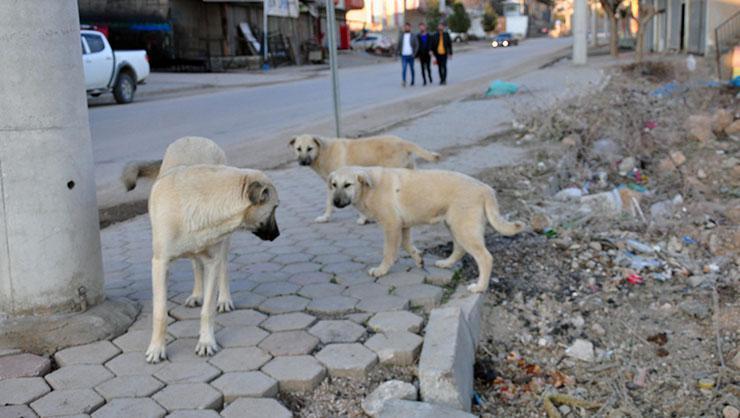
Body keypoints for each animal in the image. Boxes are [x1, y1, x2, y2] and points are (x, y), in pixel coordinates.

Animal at [290, 135, 440, 225]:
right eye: (298, 149)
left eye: (310, 148)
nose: (302, 162)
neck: (324, 152)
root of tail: (402, 141)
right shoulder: (334, 185)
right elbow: (330, 202)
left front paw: (362, 218)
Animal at [330, 165, 528, 292]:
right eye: (333, 185)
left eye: (347, 185)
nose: (335, 203)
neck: (370, 187)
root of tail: (486, 189)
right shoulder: (403, 226)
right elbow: (406, 245)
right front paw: (418, 258)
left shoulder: (391, 226)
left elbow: (388, 252)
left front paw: (381, 270)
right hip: (455, 225)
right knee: (459, 249)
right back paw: (446, 263)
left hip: (463, 228)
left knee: (485, 258)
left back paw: (480, 287)